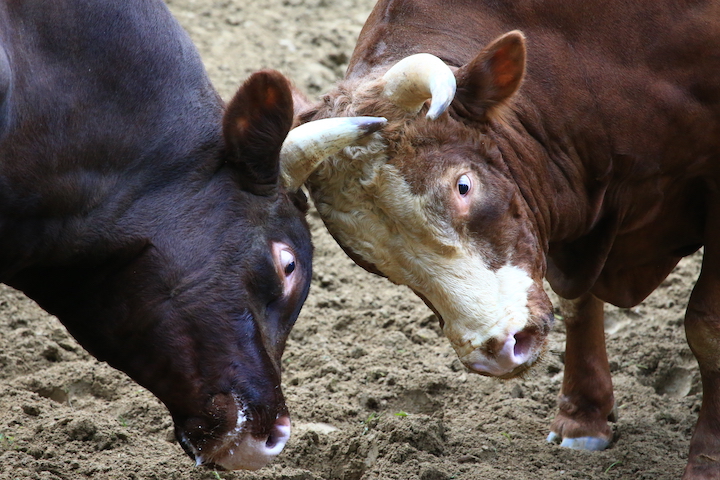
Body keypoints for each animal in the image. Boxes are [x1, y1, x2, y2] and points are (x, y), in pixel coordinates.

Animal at [284, 0, 720, 476]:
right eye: (370, 258)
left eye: (463, 186)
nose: (496, 349)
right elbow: (577, 303)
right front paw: (583, 418)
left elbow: (706, 325)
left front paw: (707, 461)